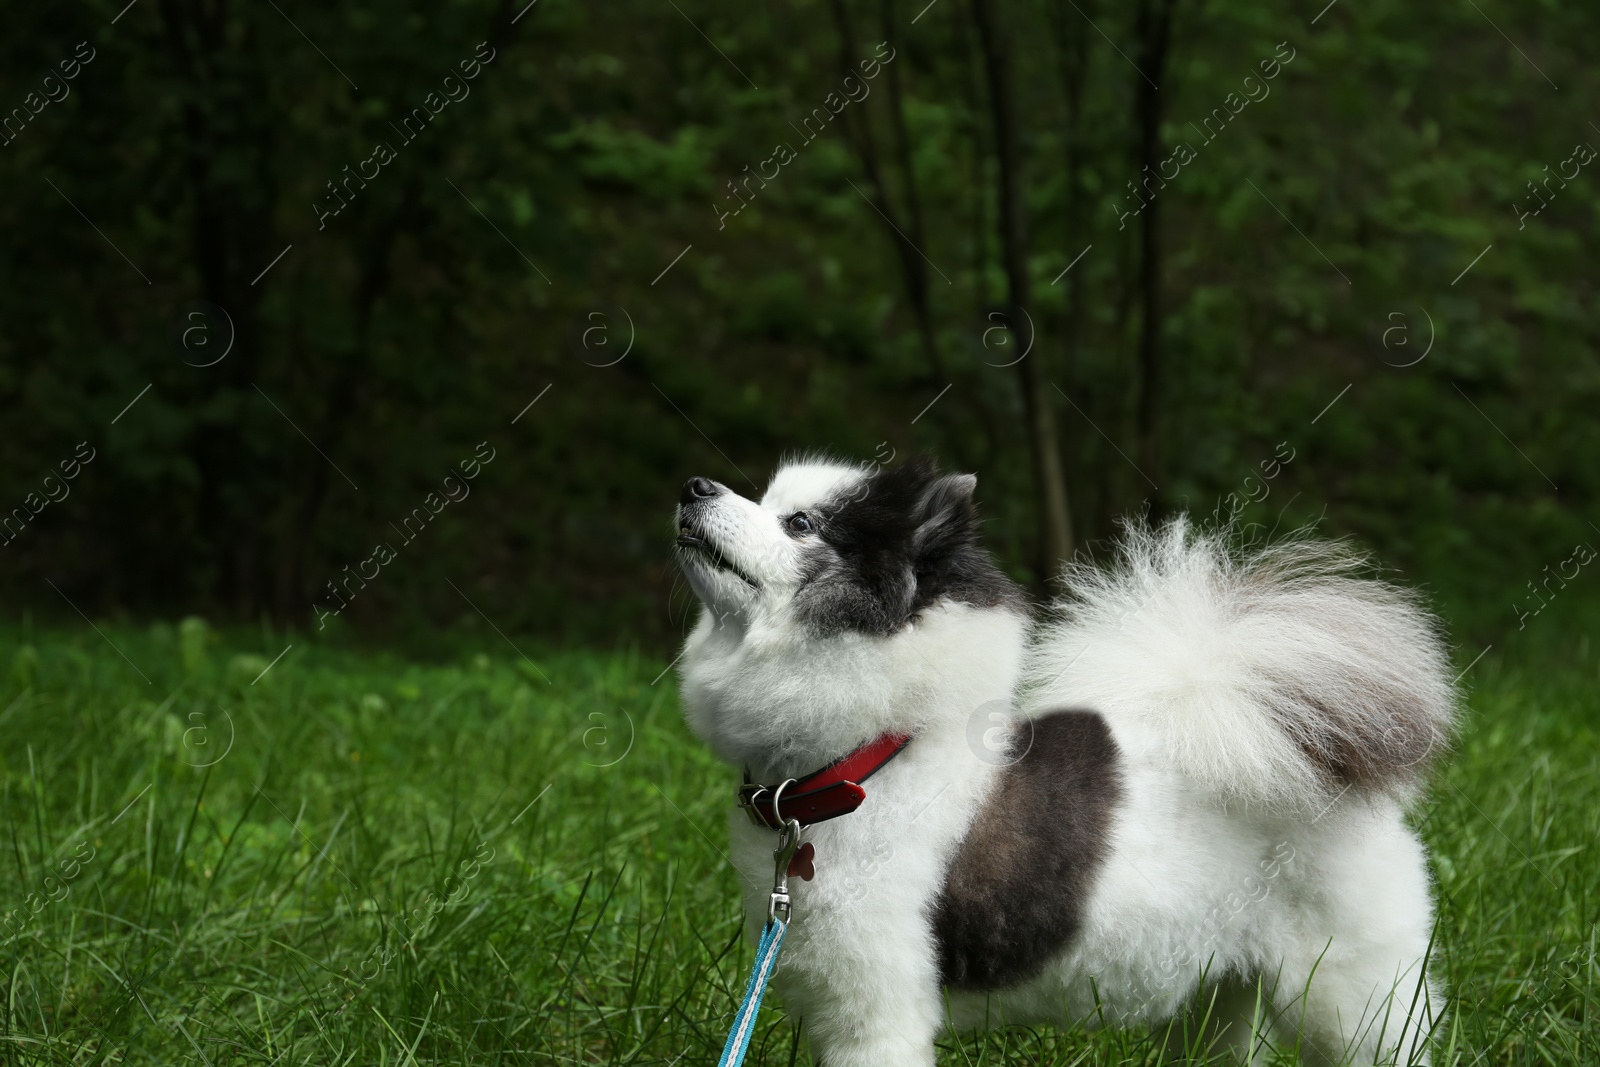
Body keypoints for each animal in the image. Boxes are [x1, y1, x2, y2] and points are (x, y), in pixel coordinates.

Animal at [668, 457, 1459, 1067]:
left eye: (800, 524)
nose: (694, 484)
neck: (869, 762)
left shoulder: (880, 1013)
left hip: (1352, 996)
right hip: (1219, 997)